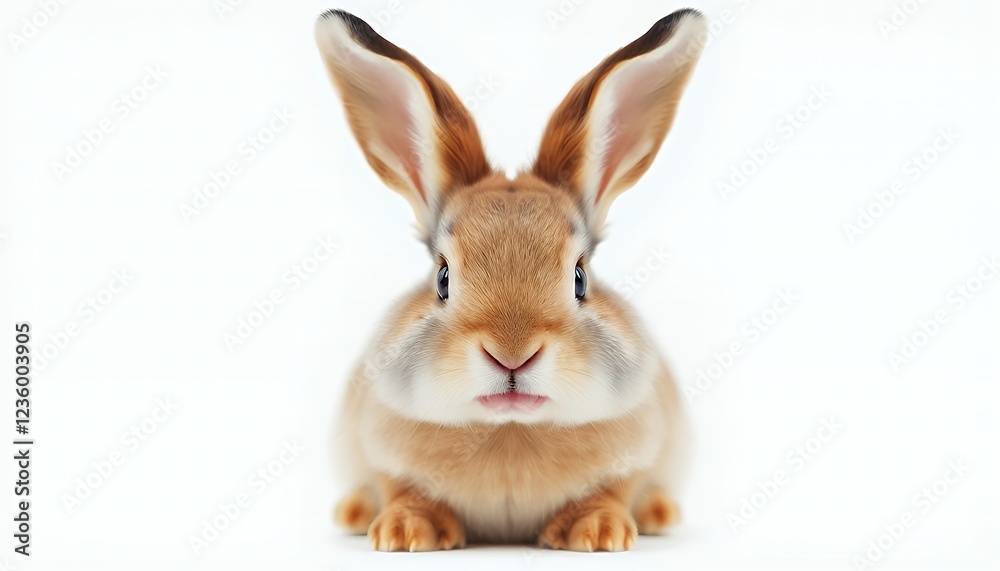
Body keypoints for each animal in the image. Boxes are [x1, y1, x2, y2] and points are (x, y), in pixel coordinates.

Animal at [314, 7, 707, 552]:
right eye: (443, 278)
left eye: (580, 278)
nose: (512, 354)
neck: (510, 430)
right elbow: (397, 485)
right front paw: (407, 531)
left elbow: (616, 486)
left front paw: (597, 531)